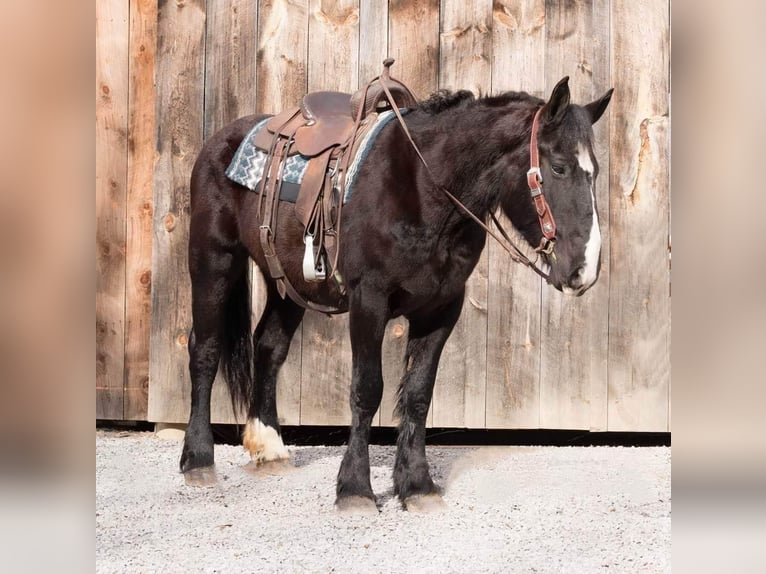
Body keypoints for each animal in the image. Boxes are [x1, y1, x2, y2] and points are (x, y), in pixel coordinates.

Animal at [178, 76, 612, 512]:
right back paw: (198, 460)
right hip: (213, 260)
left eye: (594, 173)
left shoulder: (442, 307)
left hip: (286, 284)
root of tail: (222, 138)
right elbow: (367, 390)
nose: (585, 269)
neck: (426, 187)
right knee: (205, 350)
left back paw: (268, 445)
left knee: (269, 347)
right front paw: (355, 488)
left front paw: (417, 485)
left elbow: (418, 393)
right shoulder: (369, 300)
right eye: (559, 167)